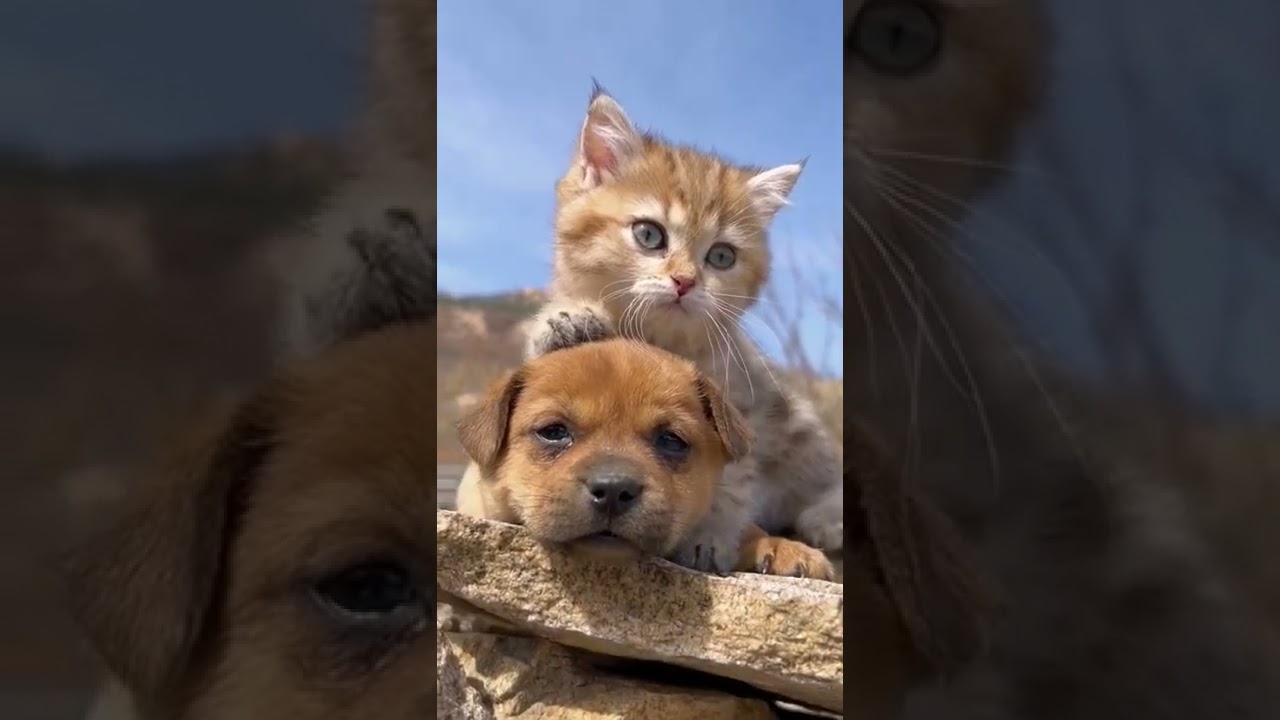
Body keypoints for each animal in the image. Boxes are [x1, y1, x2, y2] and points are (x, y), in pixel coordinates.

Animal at [524, 83, 844, 568]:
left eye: (722, 256)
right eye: (649, 234)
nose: (685, 281)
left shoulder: (739, 406)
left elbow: (726, 485)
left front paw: (706, 537)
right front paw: (566, 320)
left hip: (796, 421)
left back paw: (825, 521)